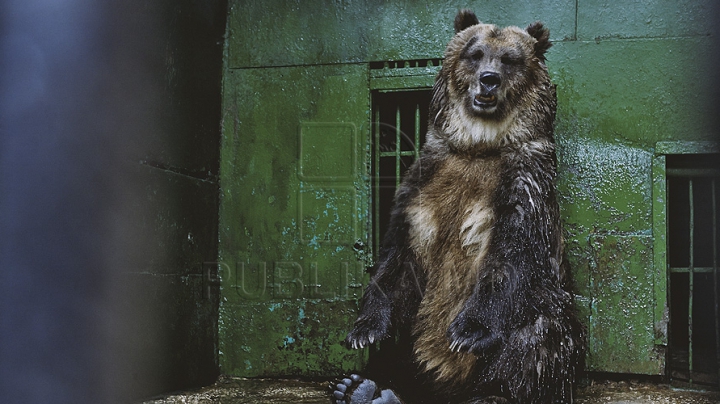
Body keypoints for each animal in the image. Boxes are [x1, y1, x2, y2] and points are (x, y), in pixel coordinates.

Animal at [332, 8, 584, 404]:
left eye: (510, 59)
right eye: (475, 53)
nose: (488, 80)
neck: (479, 146)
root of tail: (445, 385)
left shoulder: (524, 182)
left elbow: (510, 255)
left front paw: (469, 331)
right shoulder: (424, 183)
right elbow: (397, 257)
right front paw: (365, 330)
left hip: (540, 308)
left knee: (540, 335)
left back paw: (491, 393)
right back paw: (365, 387)